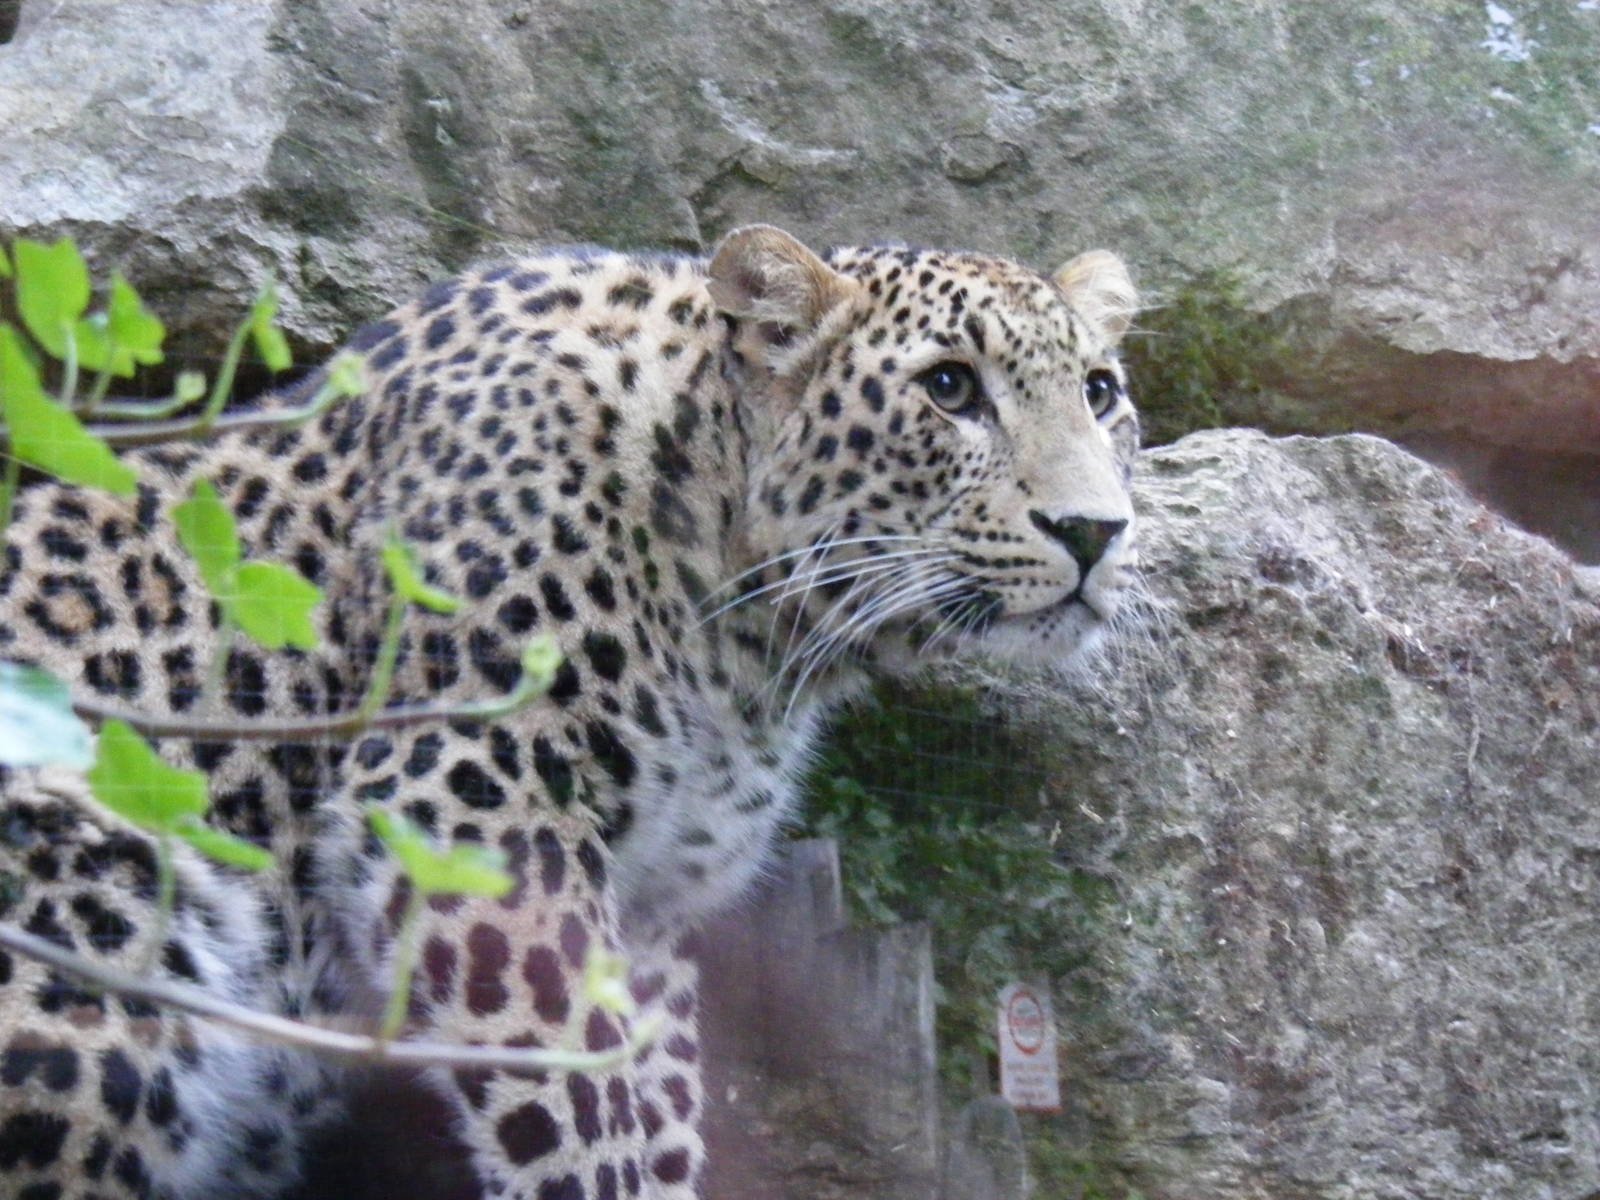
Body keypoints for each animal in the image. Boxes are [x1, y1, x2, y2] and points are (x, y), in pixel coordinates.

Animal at [0, 223, 1141, 1200]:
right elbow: (579, 1103)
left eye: (1100, 394)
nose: (1096, 530)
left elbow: (655, 1106)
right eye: (949, 388)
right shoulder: (470, 808)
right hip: (95, 889)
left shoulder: (652, 908)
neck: (742, 630)